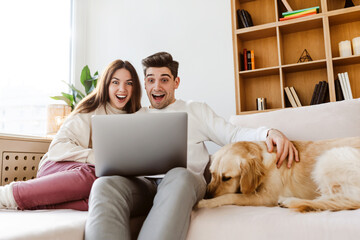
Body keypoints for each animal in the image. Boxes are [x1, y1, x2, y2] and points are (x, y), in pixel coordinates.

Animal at [198, 137, 360, 212]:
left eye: (227, 178)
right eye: (211, 174)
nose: (207, 195)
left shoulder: (266, 197)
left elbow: (230, 196)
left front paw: (206, 203)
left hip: (329, 158)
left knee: (340, 200)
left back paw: (290, 202)